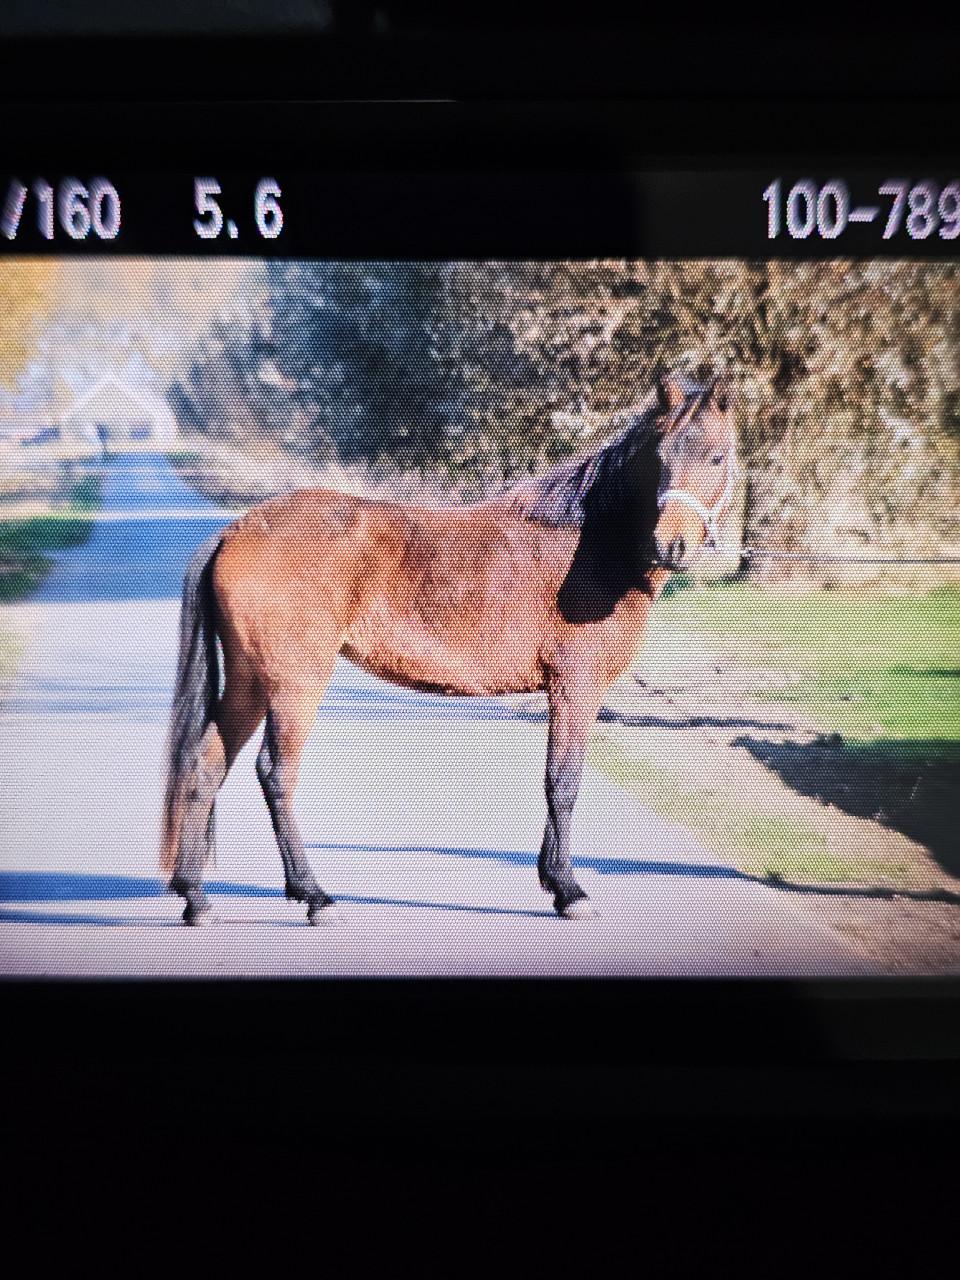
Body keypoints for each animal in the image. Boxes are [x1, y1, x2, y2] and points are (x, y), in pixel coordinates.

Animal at [160, 370, 736, 925]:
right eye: (660, 457)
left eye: (716, 456)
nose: (673, 545)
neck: (588, 541)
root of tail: (236, 530)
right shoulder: (576, 688)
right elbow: (563, 782)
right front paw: (569, 891)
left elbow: (558, 781)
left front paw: (556, 883)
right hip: (293, 684)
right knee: (276, 774)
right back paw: (314, 896)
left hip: (251, 683)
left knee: (206, 764)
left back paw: (196, 898)